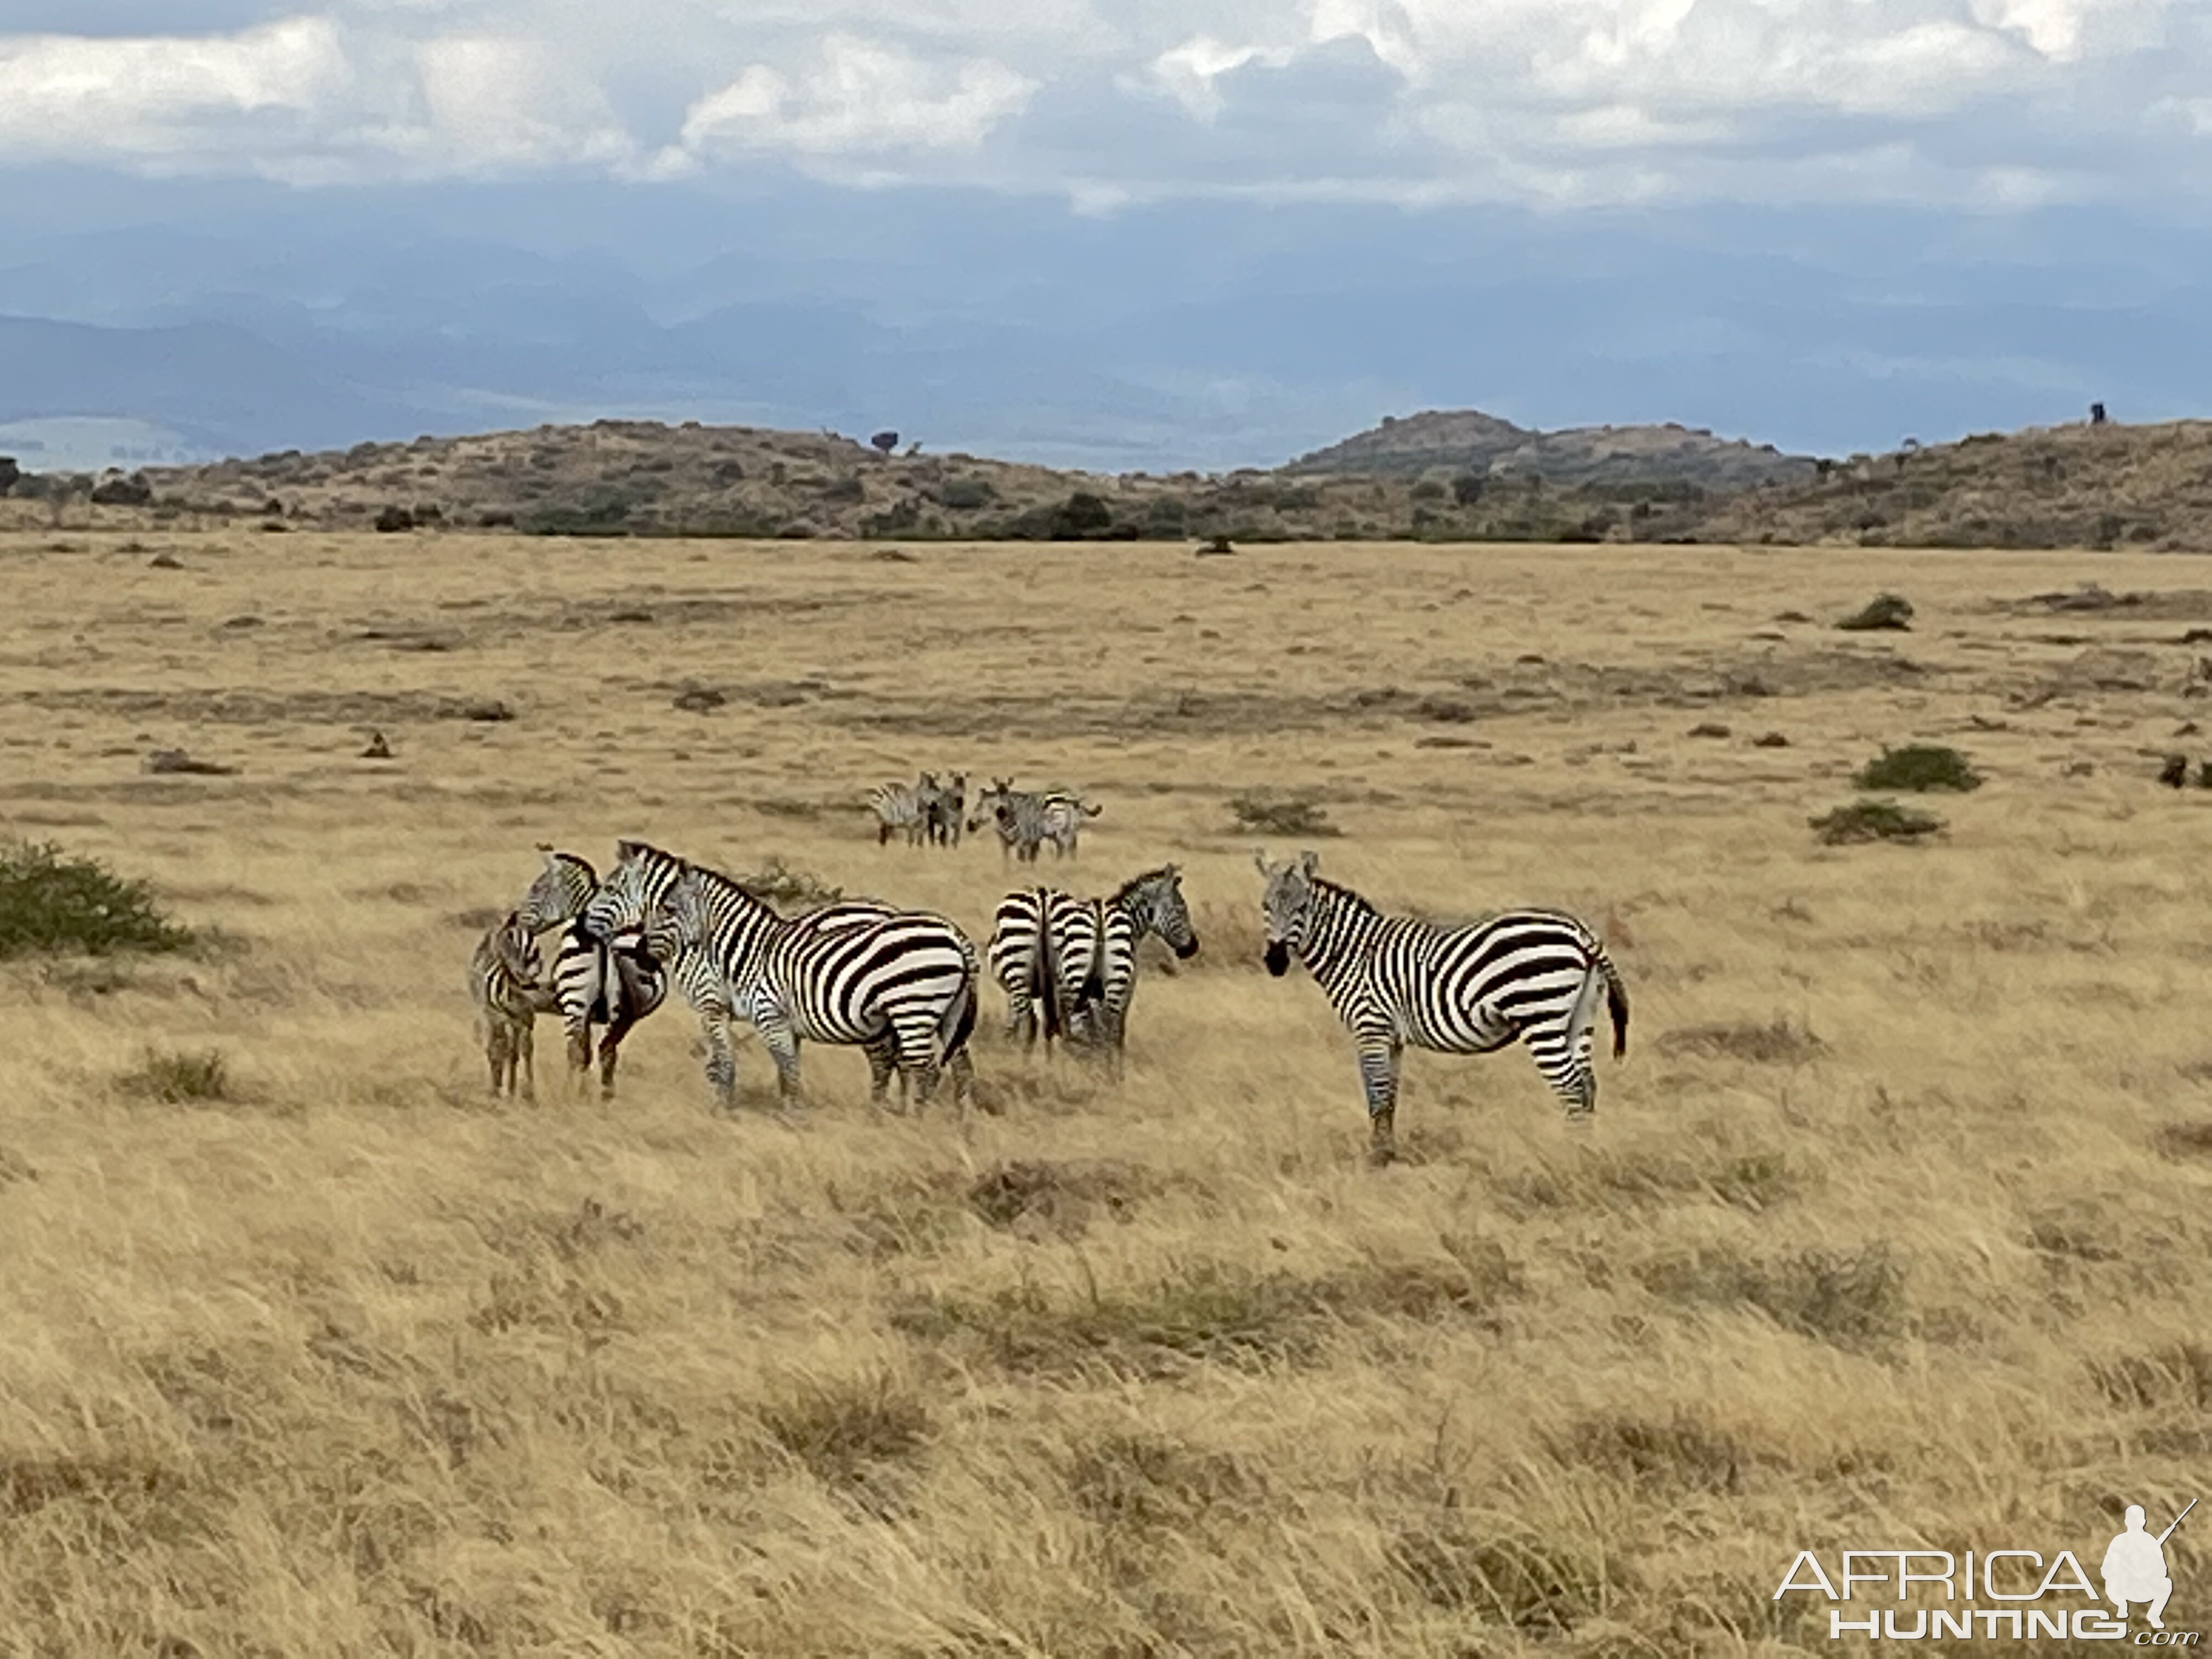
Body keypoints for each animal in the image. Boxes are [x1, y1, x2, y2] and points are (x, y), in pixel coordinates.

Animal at [515, 845, 663, 1106]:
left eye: (537, 889)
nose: (517, 923)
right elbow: (590, 1054)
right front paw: (586, 1094)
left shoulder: (574, 1005)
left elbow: (581, 1052)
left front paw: (578, 1095)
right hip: (619, 1012)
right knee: (607, 1051)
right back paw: (606, 1098)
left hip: (575, 1001)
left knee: (574, 1050)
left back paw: (567, 1096)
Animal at [588, 845, 969, 1119]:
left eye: (610, 888)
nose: (641, 953)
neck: (742, 948)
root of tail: (953, 933)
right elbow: (781, 1068)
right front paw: (780, 1111)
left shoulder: (716, 1006)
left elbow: (728, 1063)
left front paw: (725, 1110)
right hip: (937, 1014)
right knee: (951, 1063)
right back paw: (947, 1117)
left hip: (908, 1008)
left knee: (916, 1067)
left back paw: (911, 1120)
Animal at [1265, 858, 1628, 1167]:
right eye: (1265, 907)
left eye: (1301, 909)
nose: (1275, 962)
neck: (1355, 953)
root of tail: (1580, 930)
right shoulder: (1392, 1037)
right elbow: (1390, 1096)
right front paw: (1389, 1153)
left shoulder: (1370, 1027)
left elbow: (1376, 1093)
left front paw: (1377, 1159)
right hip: (1580, 1017)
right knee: (1588, 1085)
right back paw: (1588, 1154)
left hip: (1541, 1016)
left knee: (1571, 1087)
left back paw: (1572, 1160)